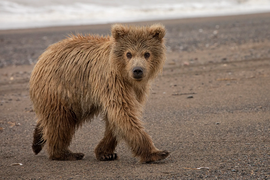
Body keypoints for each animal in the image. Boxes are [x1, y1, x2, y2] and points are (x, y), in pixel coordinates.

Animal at [29, 23, 169, 162]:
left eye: (147, 54)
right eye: (129, 53)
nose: (137, 70)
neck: (124, 74)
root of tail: (42, 56)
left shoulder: (135, 89)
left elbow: (116, 118)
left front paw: (106, 152)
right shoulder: (111, 80)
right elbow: (123, 112)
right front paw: (157, 152)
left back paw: (37, 141)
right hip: (60, 88)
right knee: (60, 121)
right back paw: (65, 153)